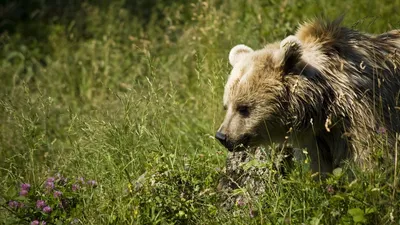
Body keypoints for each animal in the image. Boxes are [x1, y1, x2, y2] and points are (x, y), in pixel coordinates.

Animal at [216, 18, 400, 174]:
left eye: (243, 108)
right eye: (226, 106)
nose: (222, 136)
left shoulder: (365, 112)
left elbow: (374, 156)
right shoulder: (317, 139)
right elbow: (320, 168)